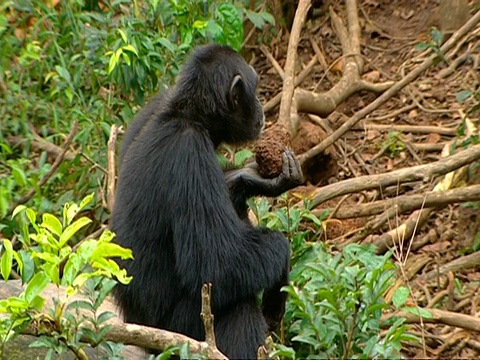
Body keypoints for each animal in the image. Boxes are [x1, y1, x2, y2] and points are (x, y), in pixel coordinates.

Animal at [110, 43, 302, 358]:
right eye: (255, 88)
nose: (261, 105)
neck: (186, 116)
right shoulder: (190, 155)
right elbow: (216, 263)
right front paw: (281, 266)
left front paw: (248, 176)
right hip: (179, 329)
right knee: (237, 309)